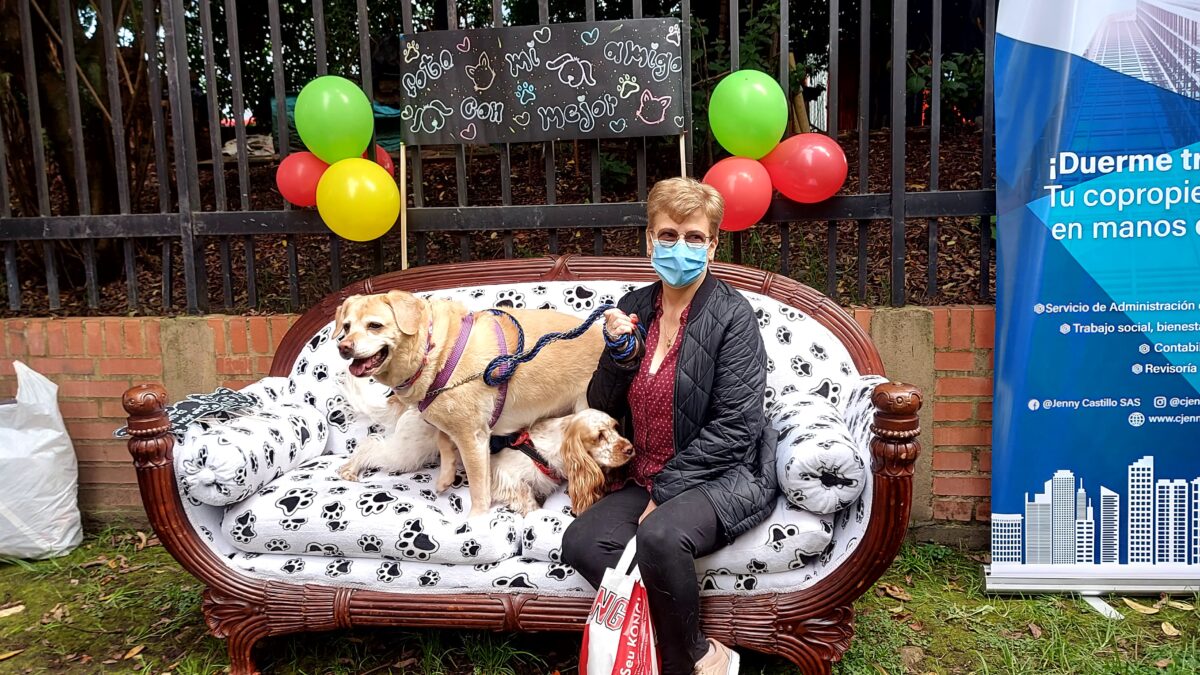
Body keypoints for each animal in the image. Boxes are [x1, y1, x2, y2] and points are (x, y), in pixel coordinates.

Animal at [334, 291, 605, 517]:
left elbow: (474, 481)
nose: (343, 347)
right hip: (408, 450)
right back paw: (350, 469)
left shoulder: (471, 437)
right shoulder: (470, 436)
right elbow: (474, 480)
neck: (436, 350)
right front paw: (476, 520)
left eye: (375, 326)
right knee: (370, 445)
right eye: (346, 327)